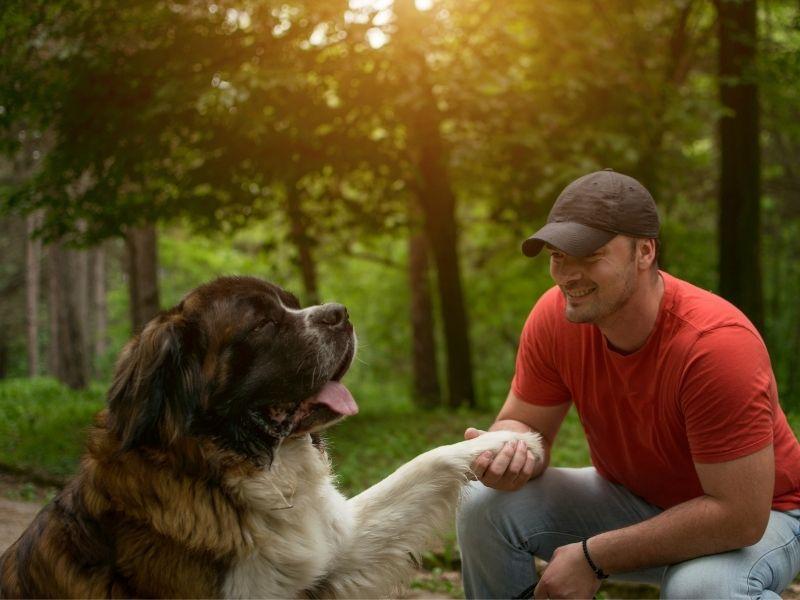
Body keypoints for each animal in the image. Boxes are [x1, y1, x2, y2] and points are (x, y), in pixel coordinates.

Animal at [0, 278, 544, 600]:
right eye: (262, 322)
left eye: (295, 304)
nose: (340, 312)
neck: (225, 472)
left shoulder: (334, 553)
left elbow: (421, 465)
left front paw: (504, 444)